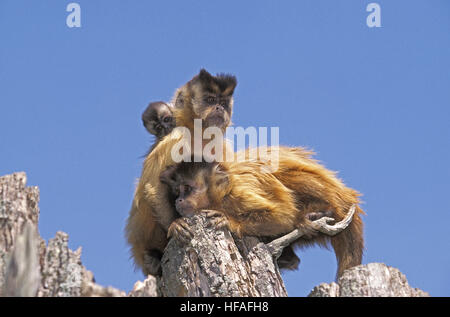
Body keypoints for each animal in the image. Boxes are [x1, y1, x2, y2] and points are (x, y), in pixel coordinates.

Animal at [161, 146, 366, 276]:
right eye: (177, 191)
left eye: (187, 188)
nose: (179, 199)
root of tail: (346, 198)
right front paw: (177, 225)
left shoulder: (238, 191)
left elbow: (284, 216)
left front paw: (230, 222)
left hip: (333, 198)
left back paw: (316, 213)